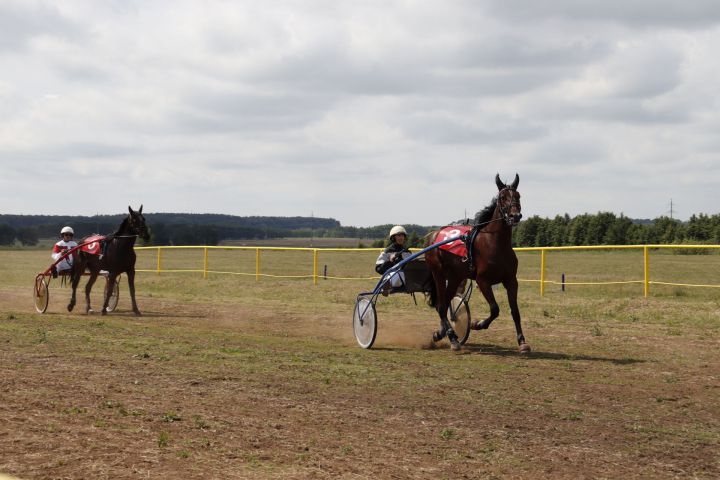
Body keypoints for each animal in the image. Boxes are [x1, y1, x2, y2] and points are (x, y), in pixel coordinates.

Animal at [424, 175, 532, 352]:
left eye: (518, 195)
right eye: (503, 197)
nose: (515, 216)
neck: (495, 244)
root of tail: (433, 235)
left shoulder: (511, 280)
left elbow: (515, 311)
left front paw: (522, 342)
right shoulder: (483, 281)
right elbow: (495, 309)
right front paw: (477, 323)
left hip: (454, 277)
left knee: (444, 304)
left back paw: (441, 333)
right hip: (438, 273)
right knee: (441, 306)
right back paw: (453, 338)